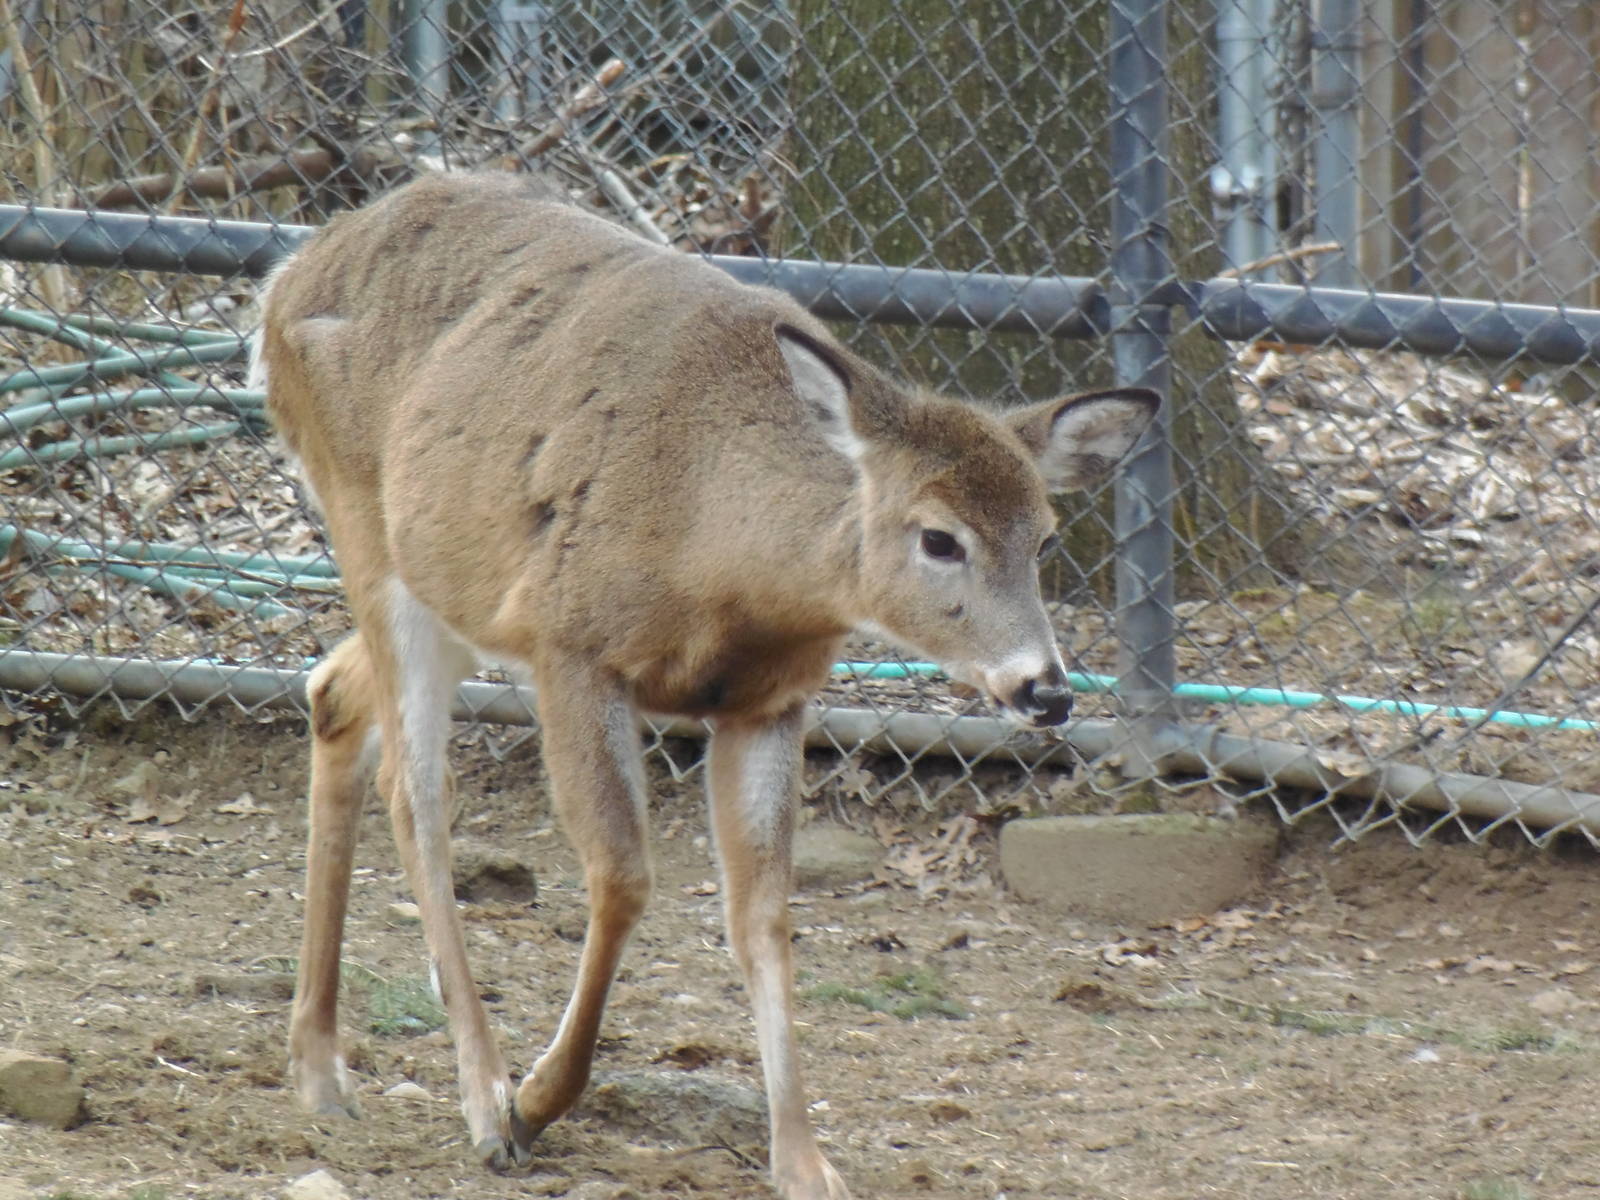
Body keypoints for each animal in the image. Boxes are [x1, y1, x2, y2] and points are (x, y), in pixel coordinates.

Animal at [253, 170, 1158, 1200]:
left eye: (1044, 538)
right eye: (939, 537)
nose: (1046, 689)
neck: (716, 548)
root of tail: (285, 278)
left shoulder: (770, 701)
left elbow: (762, 914)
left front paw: (806, 1163)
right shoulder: (573, 644)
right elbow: (623, 875)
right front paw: (537, 1100)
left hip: (451, 588)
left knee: (332, 691)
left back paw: (320, 1070)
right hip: (369, 524)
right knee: (416, 791)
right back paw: (481, 1097)